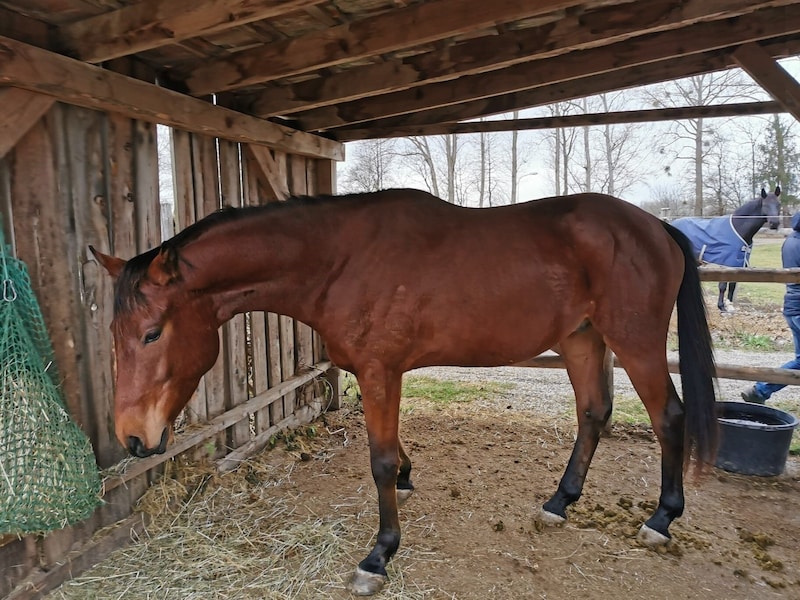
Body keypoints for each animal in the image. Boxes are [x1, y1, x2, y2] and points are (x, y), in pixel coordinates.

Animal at [90, 189, 716, 596]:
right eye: (114, 336)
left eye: (152, 333)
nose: (133, 437)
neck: (339, 260)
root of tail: (657, 227)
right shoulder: (378, 374)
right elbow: (393, 450)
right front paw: (411, 481)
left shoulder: (378, 371)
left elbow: (380, 461)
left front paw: (380, 553)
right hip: (583, 340)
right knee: (594, 413)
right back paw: (559, 502)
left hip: (633, 342)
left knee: (668, 416)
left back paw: (662, 518)